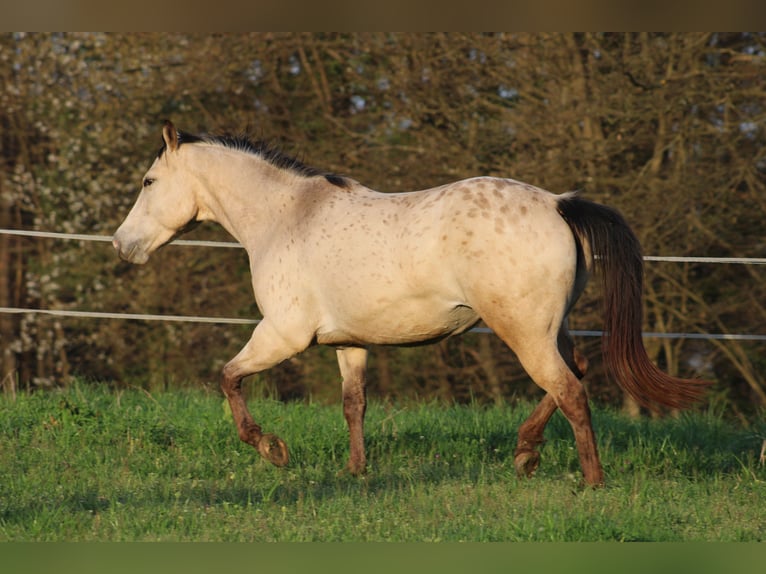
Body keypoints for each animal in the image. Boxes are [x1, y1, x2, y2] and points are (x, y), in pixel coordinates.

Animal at [111, 121, 712, 486]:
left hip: (522, 330)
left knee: (569, 390)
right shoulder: (348, 342)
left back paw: (590, 481)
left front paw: (271, 449)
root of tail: (558, 204)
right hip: (549, 327)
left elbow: (229, 378)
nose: (122, 244)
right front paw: (355, 472)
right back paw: (526, 452)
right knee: (577, 372)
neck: (287, 217)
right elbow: (354, 405)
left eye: (148, 181)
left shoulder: (282, 333)